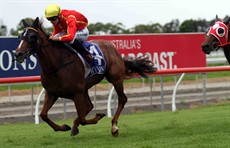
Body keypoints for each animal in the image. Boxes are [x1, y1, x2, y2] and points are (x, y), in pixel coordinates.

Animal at [14, 17, 157, 138]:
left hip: (115, 79)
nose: (18, 54)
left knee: (122, 99)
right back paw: (75, 126)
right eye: (20, 36)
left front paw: (98, 117)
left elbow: (82, 118)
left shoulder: (77, 93)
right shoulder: (52, 93)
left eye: (32, 37)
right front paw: (64, 127)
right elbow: (43, 115)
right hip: (86, 87)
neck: (57, 65)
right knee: (89, 105)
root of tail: (112, 48)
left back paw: (114, 127)